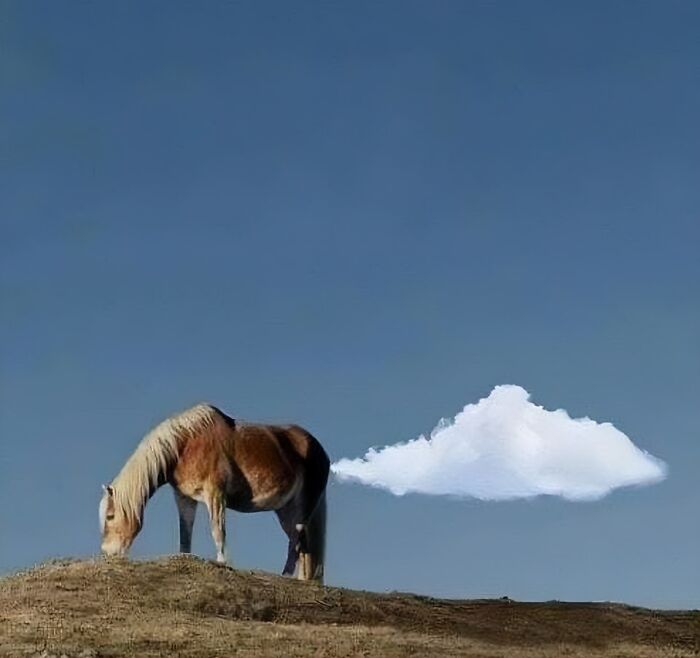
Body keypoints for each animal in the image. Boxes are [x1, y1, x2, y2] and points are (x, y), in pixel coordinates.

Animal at [99, 403, 330, 582]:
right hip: (286, 510)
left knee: (298, 542)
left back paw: (288, 576)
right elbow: (185, 532)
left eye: (110, 516)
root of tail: (321, 451)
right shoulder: (184, 498)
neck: (185, 445)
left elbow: (217, 530)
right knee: (302, 546)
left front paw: (222, 562)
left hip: (304, 506)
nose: (108, 553)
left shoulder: (215, 493)